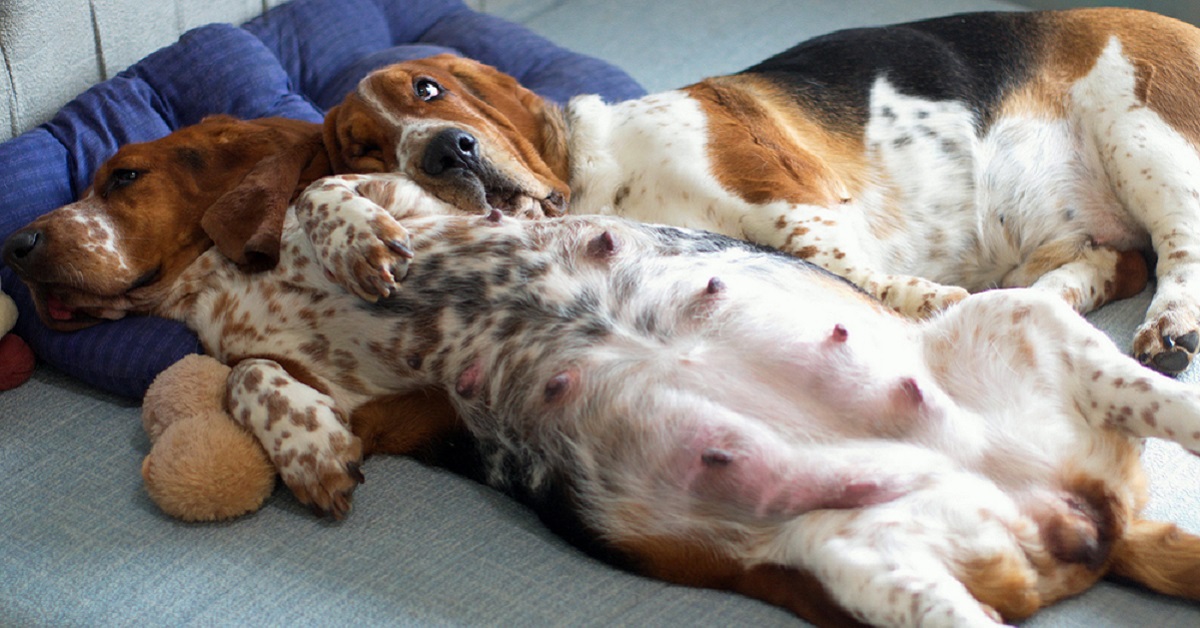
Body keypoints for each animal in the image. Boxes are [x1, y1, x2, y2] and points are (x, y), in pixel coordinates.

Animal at [319, 7, 1200, 374]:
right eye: (364, 148)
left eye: (428, 90)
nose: (445, 152)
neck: (604, 178)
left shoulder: (790, 193)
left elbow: (840, 264)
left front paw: (926, 300)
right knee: (1111, 263)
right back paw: (1042, 300)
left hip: (1142, 135)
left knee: (1178, 252)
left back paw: (1167, 329)